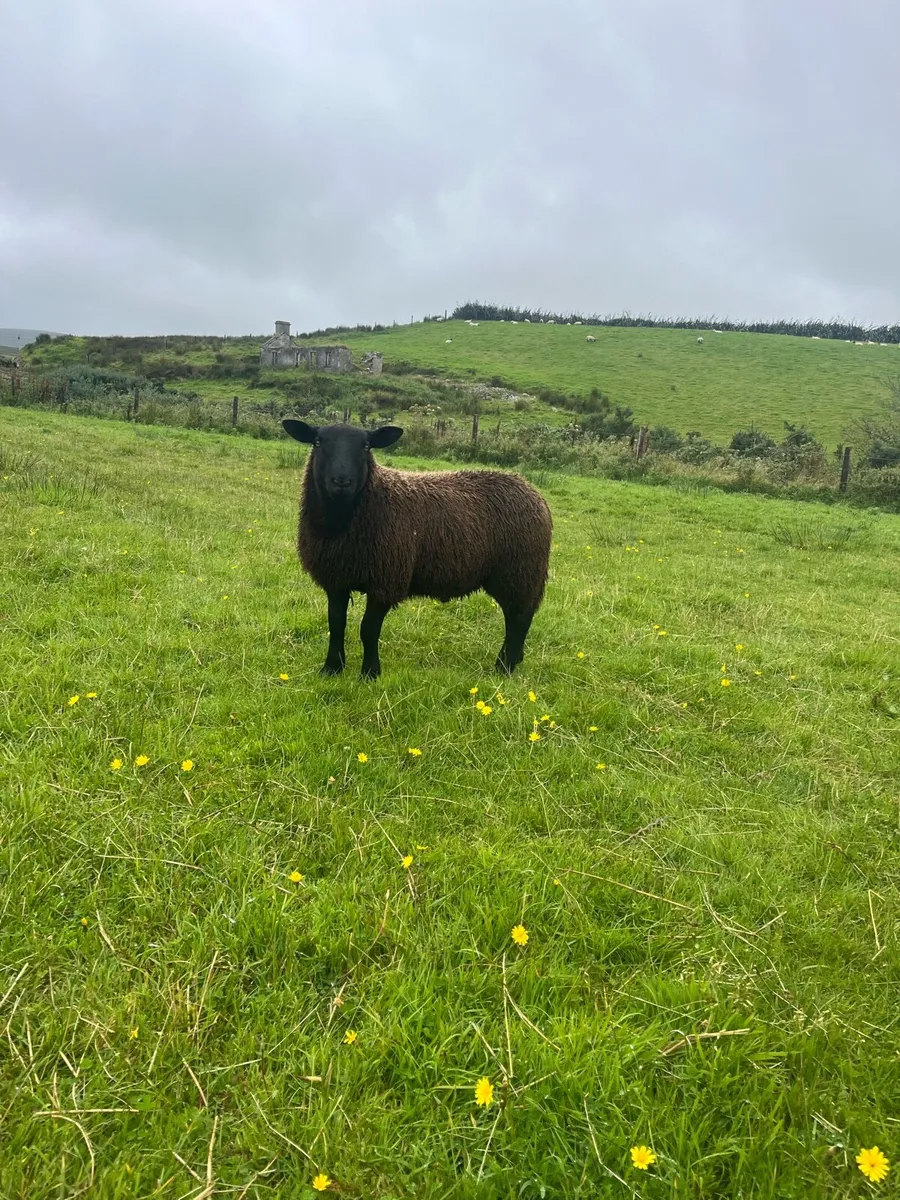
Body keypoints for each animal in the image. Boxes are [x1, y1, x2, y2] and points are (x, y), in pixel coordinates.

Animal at [281, 420, 553, 679]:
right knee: (516, 617)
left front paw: (370, 673)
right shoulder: (335, 579)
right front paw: (331, 668)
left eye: (366, 447)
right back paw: (512, 661)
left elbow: (368, 629)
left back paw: (504, 667)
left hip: (520, 572)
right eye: (317, 442)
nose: (341, 481)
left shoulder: (386, 580)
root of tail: (533, 491)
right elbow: (336, 624)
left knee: (519, 618)